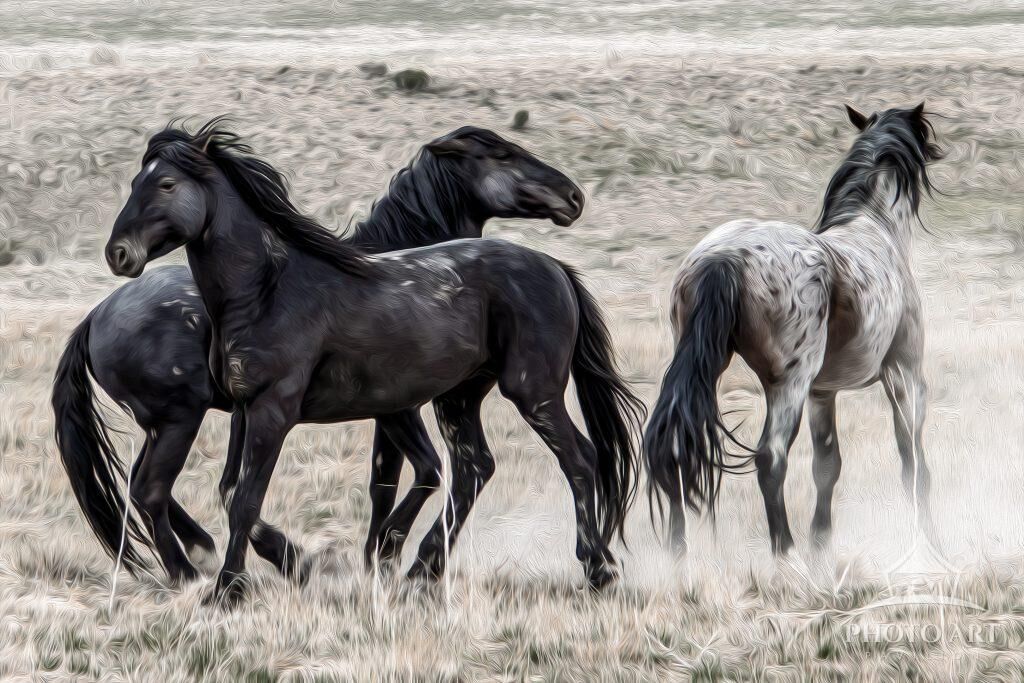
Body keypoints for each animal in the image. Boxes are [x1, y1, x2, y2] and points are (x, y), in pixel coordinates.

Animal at [99, 122, 644, 604]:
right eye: (137, 182)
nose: (119, 253)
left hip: (533, 390)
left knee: (578, 459)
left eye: (166, 184)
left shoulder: (280, 411)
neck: (269, 290)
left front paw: (231, 590)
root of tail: (554, 268)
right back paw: (424, 568)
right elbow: (237, 493)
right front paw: (303, 563)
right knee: (477, 466)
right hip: (458, 398)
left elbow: (253, 499)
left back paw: (597, 568)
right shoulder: (247, 409)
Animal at [644, 103, 943, 556]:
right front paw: (928, 540)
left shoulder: (823, 392)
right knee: (771, 458)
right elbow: (913, 464)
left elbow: (827, 465)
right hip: (788, 385)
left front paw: (822, 543)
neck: (875, 228)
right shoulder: (904, 377)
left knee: (677, 443)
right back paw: (784, 552)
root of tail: (725, 258)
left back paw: (678, 554)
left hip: (706, 369)